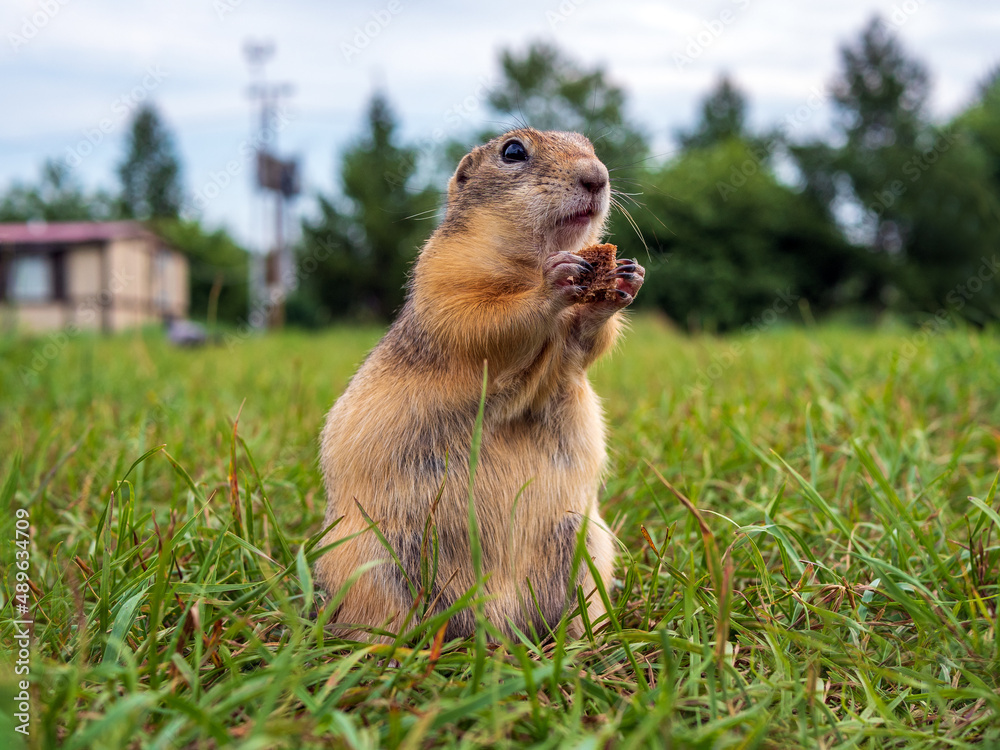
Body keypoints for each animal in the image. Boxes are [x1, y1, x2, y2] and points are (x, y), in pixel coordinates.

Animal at [320, 128, 648, 640]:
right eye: (513, 150)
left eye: (589, 144)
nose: (597, 176)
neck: (531, 259)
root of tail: (498, 621)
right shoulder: (446, 274)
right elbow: (487, 319)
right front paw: (556, 282)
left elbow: (588, 342)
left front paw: (626, 279)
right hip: (367, 562)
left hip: (585, 544)